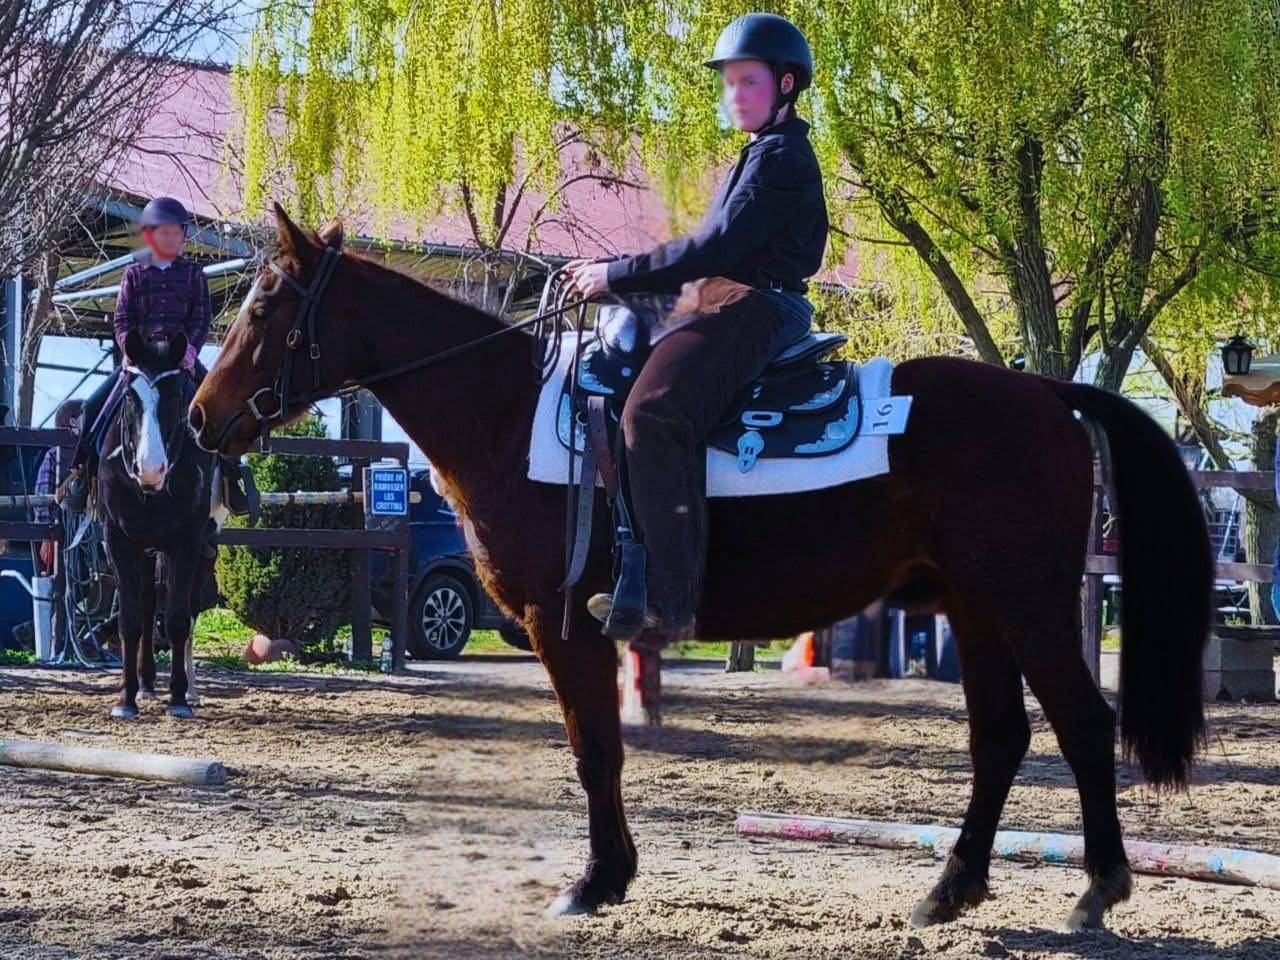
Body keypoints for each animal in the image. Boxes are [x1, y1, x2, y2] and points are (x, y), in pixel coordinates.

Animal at [99, 331, 217, 719]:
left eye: (177, 394)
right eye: (128, 395)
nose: (150, 469)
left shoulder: (188, 542)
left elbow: (179, 618)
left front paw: (178, 698)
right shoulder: (118, 540)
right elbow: (131, 619)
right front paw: (126, 698)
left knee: (189, 613)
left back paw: (190, 691)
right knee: (149, 605)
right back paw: (147, 683)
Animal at [188, 203, 1211, 932]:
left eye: (265, 305)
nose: (201, 417)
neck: (510, 415)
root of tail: (1047, 395)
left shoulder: (565, 625)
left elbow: (594, 748)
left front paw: (595, 881)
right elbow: (600, 747)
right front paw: (609, 875)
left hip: (1024, 601)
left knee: (1082, 724)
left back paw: (1097, 891)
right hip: (975, 608)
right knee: (999, 738)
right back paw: (948, 890)